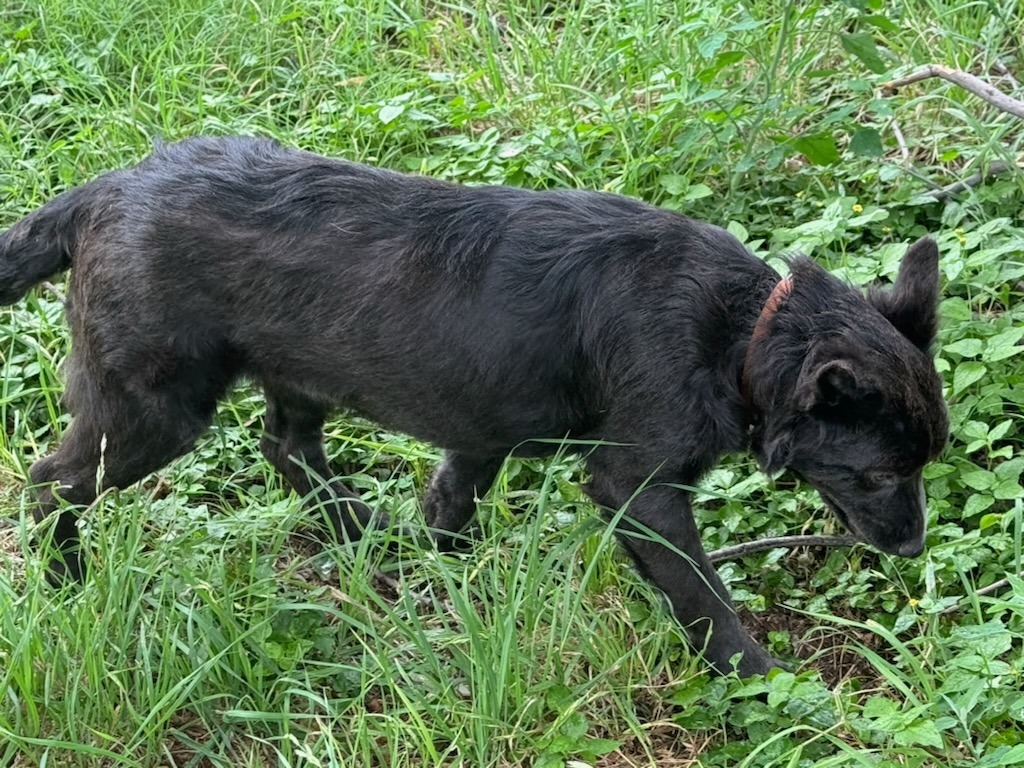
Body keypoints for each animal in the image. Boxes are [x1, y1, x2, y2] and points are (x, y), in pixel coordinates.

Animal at [0, 135, 946, 675]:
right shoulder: (637, 491)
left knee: (286, 448)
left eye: (922, 464)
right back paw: (66, 585)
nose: (911, 549)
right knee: (48, 483)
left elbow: (451, 505)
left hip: (294, 375)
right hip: (150, 409)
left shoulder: (480, 432)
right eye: (877, 474)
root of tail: (100, 193)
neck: (742, 330)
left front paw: (442, 585)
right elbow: (704, 598)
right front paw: (765, 681)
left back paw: (364, 536)